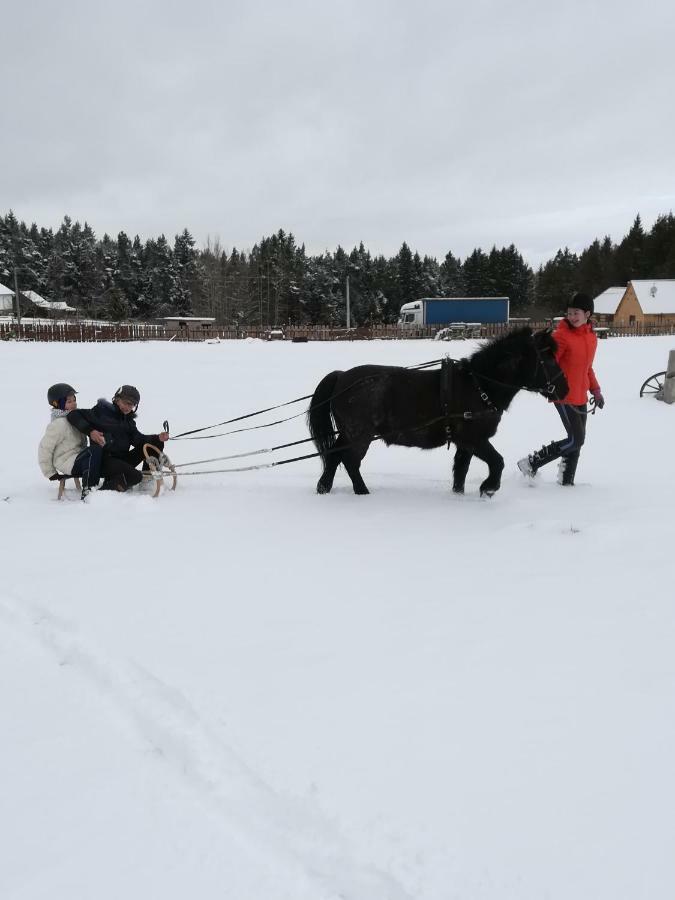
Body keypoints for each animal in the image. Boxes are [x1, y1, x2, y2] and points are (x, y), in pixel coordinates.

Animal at [308, 326, 568, 500]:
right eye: (548, 359)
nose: (565, 388)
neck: (478, 385)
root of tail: (342, 377)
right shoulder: (473, 439)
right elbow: (497, 462)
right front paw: (489, 488)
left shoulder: (466, 444)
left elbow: (461, 470)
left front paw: (459, 496)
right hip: (359, 435)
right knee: (350, 461)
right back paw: (362, 492)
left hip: (348, 433)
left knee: (334, 456)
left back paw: (324, 488)